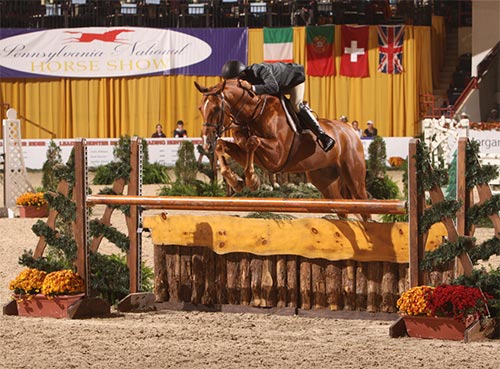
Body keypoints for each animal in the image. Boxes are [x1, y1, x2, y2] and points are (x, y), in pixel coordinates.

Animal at [195, 80, 372, 218]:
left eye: (216, 109)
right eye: (200, 108)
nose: (206, 142)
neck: (254, 114)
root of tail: (350, 130)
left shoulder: (277, 156)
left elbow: (252, 141)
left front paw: (252, 180)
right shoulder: (254, 154)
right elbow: (223, 145)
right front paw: (235, 181)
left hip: (354, 177)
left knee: (364, 207)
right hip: (324, 181)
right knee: (342, 210)